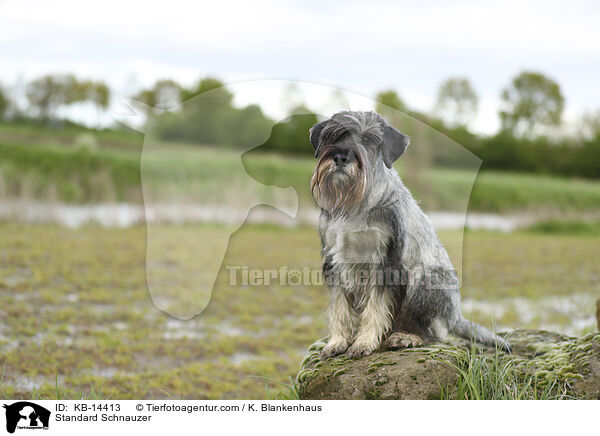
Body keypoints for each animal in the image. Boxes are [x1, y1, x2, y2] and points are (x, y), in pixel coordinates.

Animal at [310, 110, 510, 358]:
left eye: (368, 139)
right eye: (334, 136)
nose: (340, 157)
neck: (355, 204)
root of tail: (456, 317)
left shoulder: (385, 263)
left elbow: (375, 308)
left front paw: (364, 343)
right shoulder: (334, 261)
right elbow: (339, 308)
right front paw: (337, 342)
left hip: (423, 280)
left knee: (432, 333)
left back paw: (406, 337)